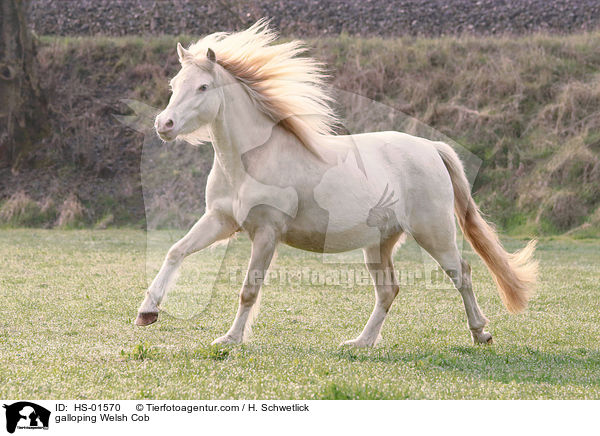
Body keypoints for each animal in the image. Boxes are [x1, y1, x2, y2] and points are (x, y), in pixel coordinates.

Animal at [137, 21, 540, 348]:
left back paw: (480, 333)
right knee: (389, 290)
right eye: (175, 84)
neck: (252, 160)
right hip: (380, 243)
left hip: (434, 232)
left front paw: (230, 339)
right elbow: (176, 252)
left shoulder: (266, 232)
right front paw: (147, 312)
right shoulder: (221, 220)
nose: (164, 125)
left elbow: (249, 290)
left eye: (203, 87)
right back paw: (361, 342)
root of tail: (432, 148)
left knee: (462, 273)